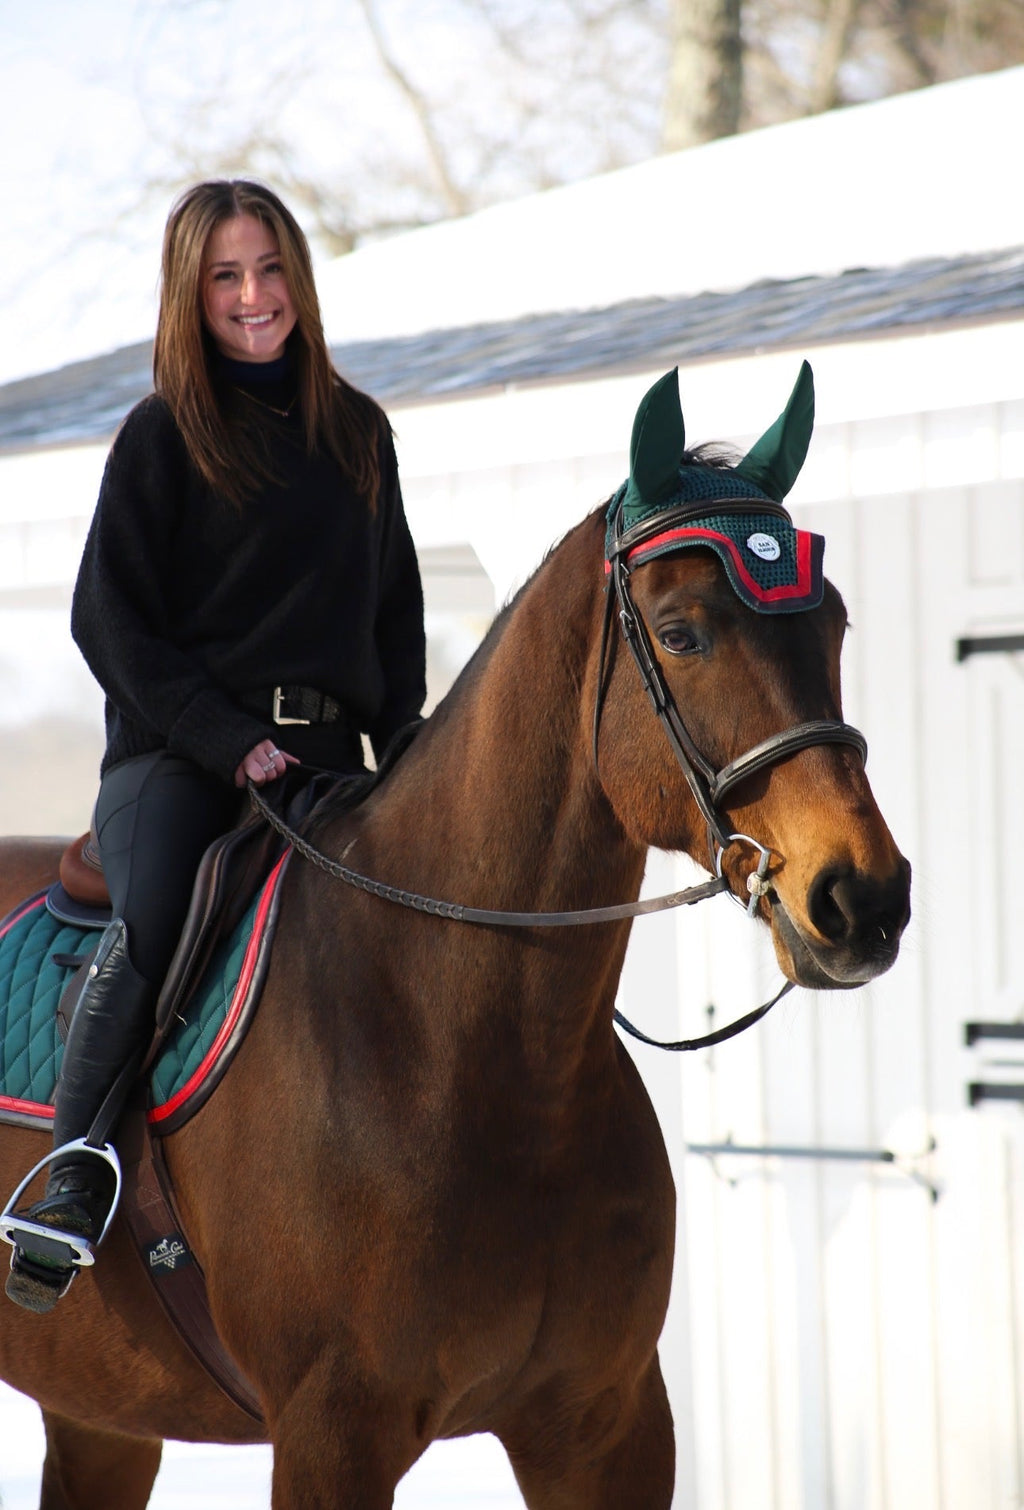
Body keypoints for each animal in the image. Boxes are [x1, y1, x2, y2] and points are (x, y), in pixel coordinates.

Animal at [0, 367, 910, 1508]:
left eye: (830, 621)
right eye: (682, 632)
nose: (862, 896)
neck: (466, 1050)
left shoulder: (604, 1426)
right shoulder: (331, 1436)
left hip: (100, 1414)